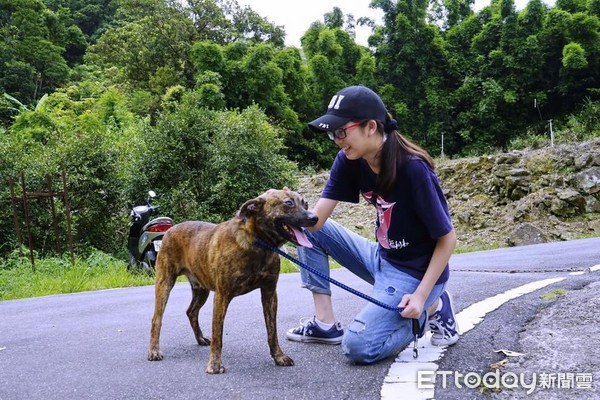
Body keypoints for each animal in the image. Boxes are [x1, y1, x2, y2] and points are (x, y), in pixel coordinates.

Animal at [147, 189, 316, 374]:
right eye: (288, 203)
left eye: (305, 203)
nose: (314, 217)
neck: (258, 243)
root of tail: (171, 229)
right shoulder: (222, 296)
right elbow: (218, 335)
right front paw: (214, 364)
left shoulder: (269, 293)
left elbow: (272, 331)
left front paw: (279, 356)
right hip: (165, 283)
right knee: (156, 319)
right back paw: (154, 351)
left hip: (201, 290)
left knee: (191, 312)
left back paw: (200, 338)